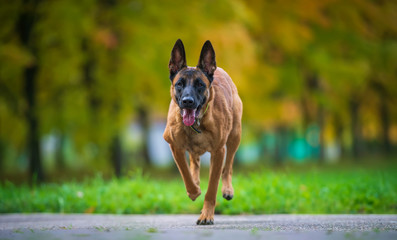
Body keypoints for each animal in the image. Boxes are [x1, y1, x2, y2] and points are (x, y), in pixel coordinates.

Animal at [163, 39, 243, 225]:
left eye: (200, 85)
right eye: (179, 84)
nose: (187, 101)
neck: (196, 124)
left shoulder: (218, 152)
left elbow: (212, 188)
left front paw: (206, 215)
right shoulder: (174, 145)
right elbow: (184, 171)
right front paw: (193, 191)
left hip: (235, 135)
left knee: (228, 165)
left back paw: (227, 189)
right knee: (194, 161)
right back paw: (196, 181)